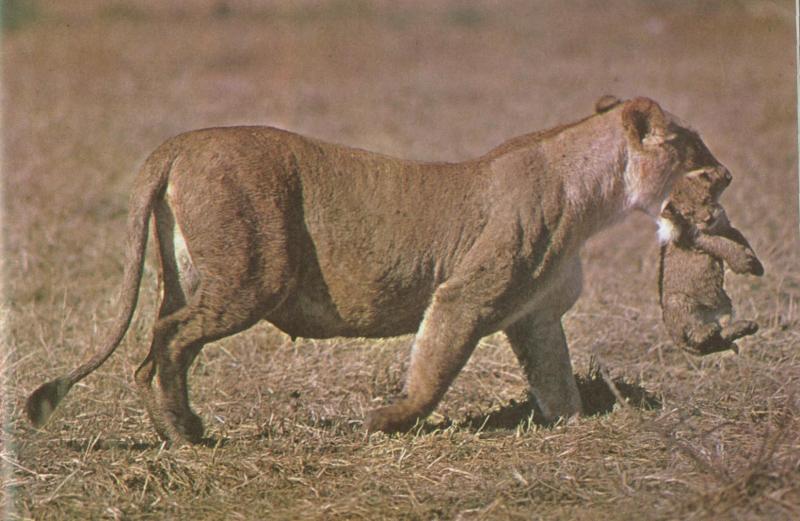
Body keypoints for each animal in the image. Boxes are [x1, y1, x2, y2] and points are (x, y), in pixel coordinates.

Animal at [27, 96, 731, 444]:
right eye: (692, 148)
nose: (725, 175)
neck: (594, 198)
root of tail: (176, 144)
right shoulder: (464, 296)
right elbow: (432, 372)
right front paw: (385, 424)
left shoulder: (534, 318)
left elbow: (557, 382)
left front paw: (577, 430)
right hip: (254, 275)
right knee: (164, 346)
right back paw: (183, 437)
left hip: (194, 277)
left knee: (158, 345)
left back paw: (181, 427)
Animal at [658, 167, 764, 355]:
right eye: (688, 213)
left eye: (706, 199)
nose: (707, 218)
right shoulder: (698, 237)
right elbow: (723, 244)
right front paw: (743, 262)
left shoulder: (726, 226)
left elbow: (740, 239)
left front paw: (756, 266)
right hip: (677, 301)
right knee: (695, 335)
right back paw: (707, 331)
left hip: (724, 303)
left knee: (718, 338)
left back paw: (746, 327)